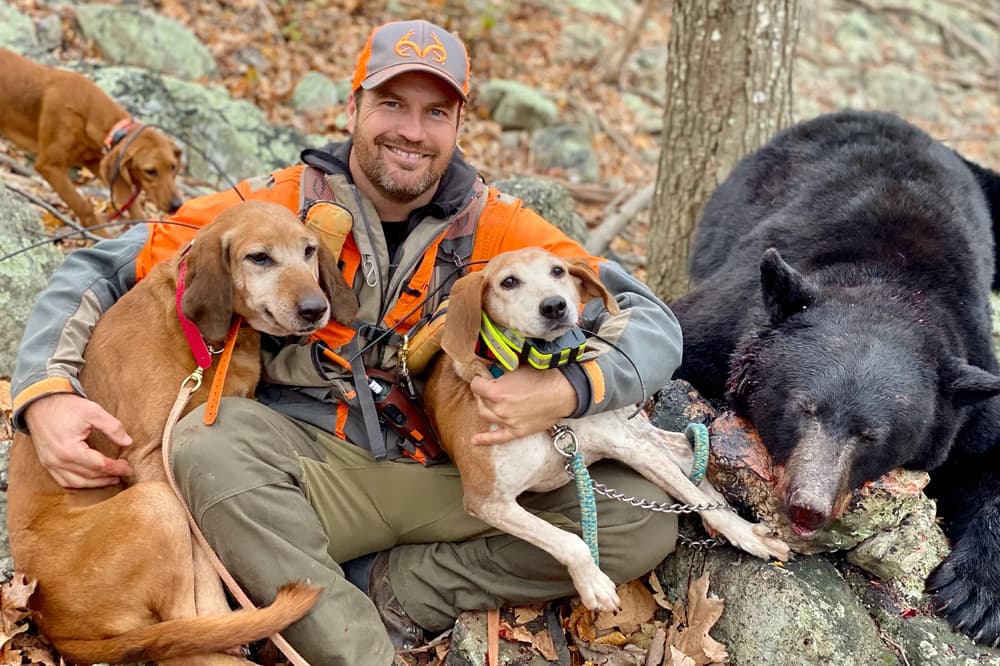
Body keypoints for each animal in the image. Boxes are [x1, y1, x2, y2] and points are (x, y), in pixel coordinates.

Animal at [668, 109, 1000, 645]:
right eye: (804, 408)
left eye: (871, 436)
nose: (809, 507)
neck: (892, 283)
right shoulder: (732, 314)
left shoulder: (969, 376)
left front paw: (974, 597)